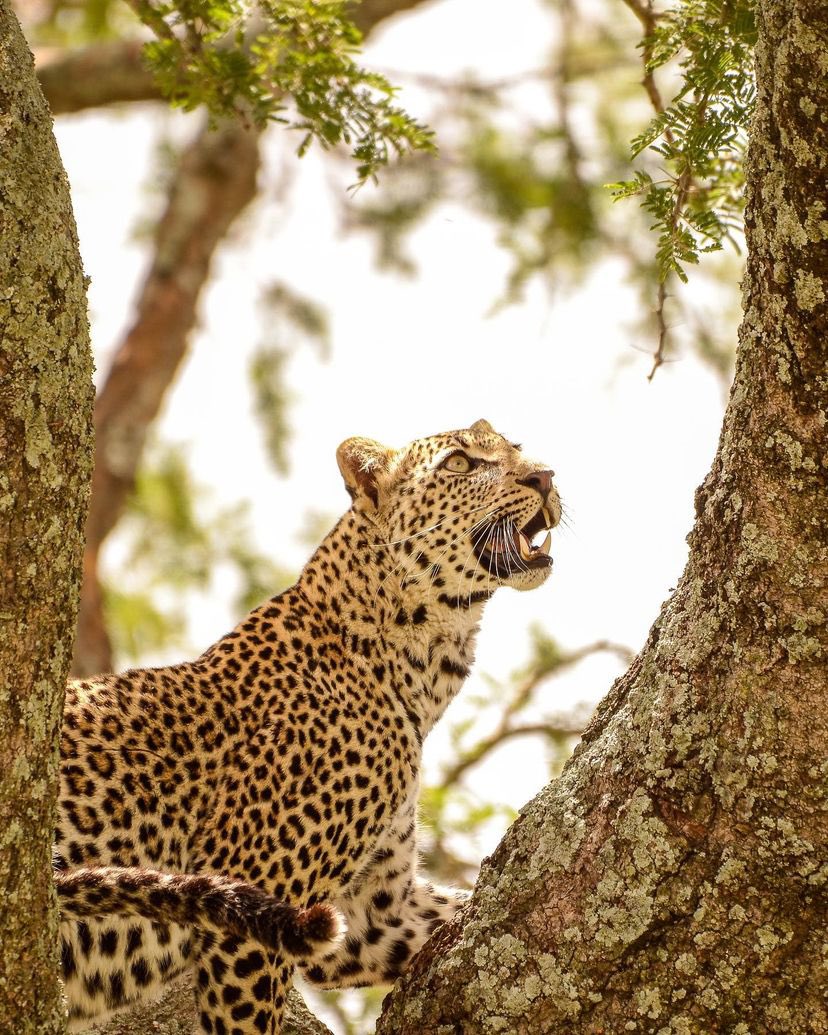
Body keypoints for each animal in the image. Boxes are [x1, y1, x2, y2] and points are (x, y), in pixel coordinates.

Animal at [54, 416, 563, 1030]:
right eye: (460, 464)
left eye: (515, 447)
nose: (544, 475)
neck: (421, 664)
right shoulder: (252, 900)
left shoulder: (372, 913)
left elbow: (460, 912)